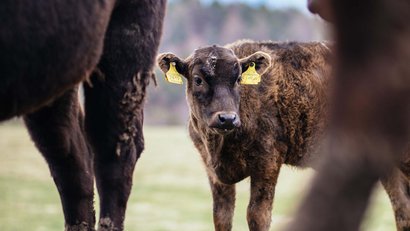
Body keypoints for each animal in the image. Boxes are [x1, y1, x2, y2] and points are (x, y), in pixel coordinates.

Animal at [158, 38, 410, 230]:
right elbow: (222, 217)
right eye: (198, 79)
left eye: (238, 79)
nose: (227, 118)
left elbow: (257, 215)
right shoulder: (214, 173)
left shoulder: (268, 162)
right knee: (402, 208)